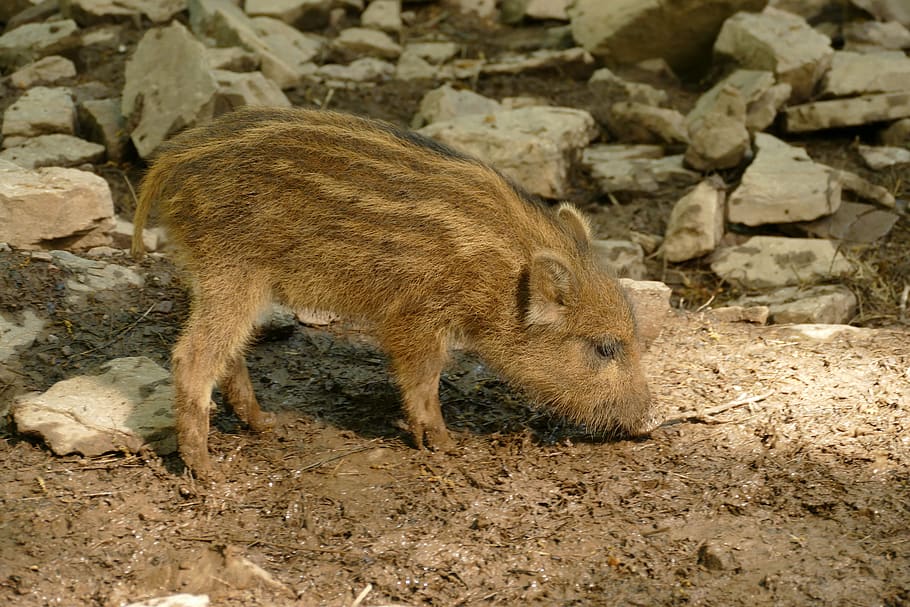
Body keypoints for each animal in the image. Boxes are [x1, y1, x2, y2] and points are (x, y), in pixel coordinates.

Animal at [132, 106, 658, 478]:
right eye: (605, 348)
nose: (647, 423)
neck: (501, 274)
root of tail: (171, 158)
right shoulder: (415, 314)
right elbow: (424, 377)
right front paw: (445, 445)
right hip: (232, 271)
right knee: (191, 357)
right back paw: (207, 471)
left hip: (228, 279)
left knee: (229, 352)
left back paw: (266, 426)